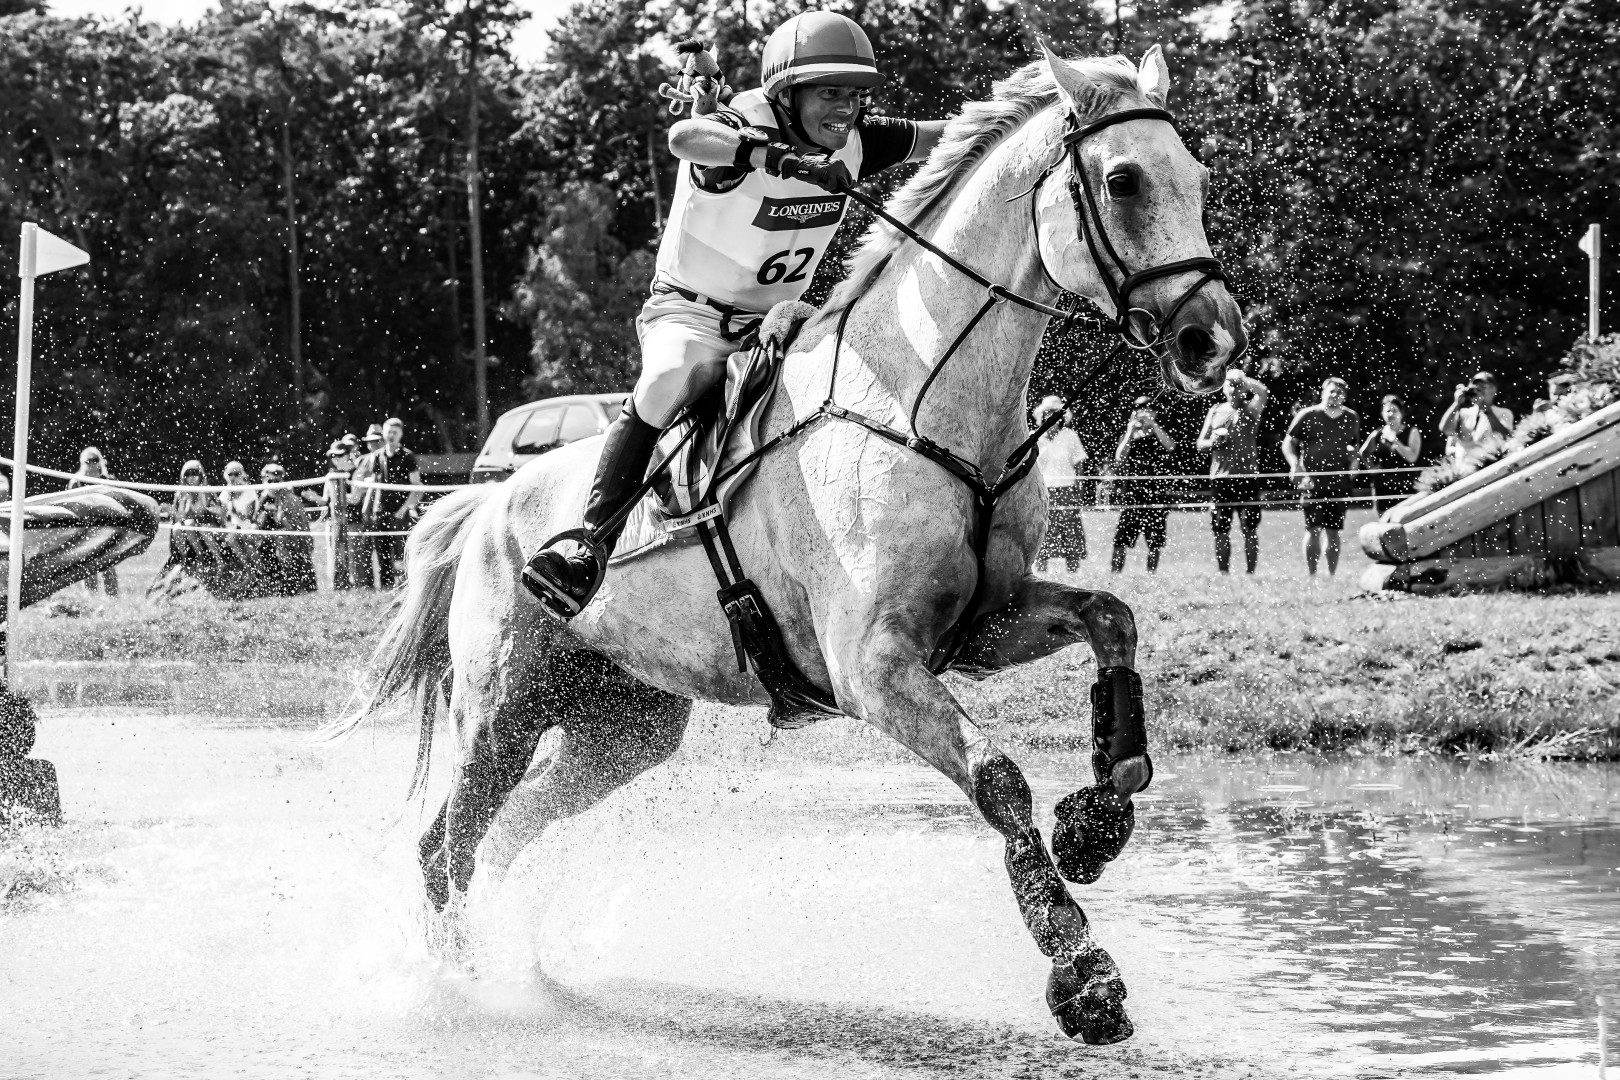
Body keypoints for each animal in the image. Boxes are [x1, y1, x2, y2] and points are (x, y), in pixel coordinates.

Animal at [337, 44, 1246, 1044]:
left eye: (1200, 176)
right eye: (1123, 181)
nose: (1213, 338)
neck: (920, 402)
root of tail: (486, 504)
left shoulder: (985, 623)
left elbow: (1112, 618)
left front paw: (1097, 819)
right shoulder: (874, 667)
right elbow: (1000, 779)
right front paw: (1083, 973)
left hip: (620, 729)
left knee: (503, 837)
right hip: (503, 711)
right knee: (444, 845)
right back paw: (460, 986)